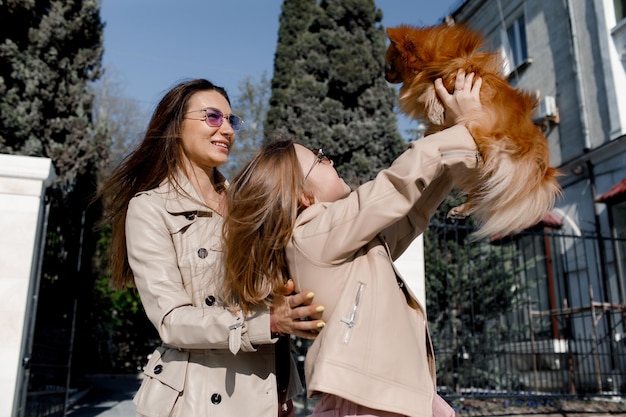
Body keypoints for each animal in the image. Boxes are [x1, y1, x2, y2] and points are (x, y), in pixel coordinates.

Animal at [386, 23, 560, 237]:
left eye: (390, 65)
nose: (385, 74)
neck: (436, 59)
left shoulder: (455, 74)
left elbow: (430, 87)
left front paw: (434, 108)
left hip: (485, 134)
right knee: (483, 192)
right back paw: (462, 208)